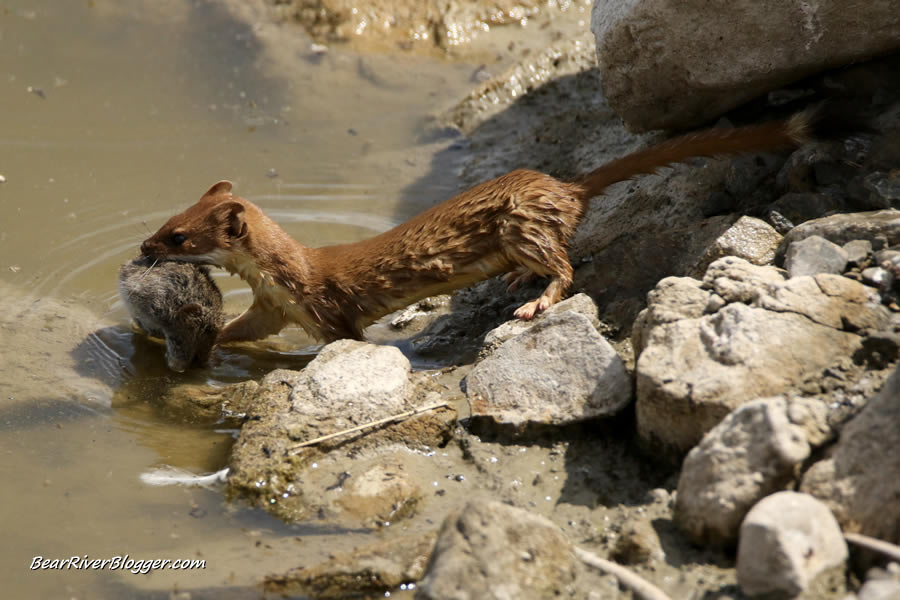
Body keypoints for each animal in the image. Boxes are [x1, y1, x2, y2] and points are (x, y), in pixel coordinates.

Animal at [141, 107, 844, 342]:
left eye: (179, 237)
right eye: (169, 216)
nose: (143, 244)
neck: (284, 278)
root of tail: (562, 184)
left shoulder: (325, 308)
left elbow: (344, 340)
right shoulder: (271, 309)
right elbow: (241, 332)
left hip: (519, 225)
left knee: (565, 265)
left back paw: (534, 302)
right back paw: (515, 285)